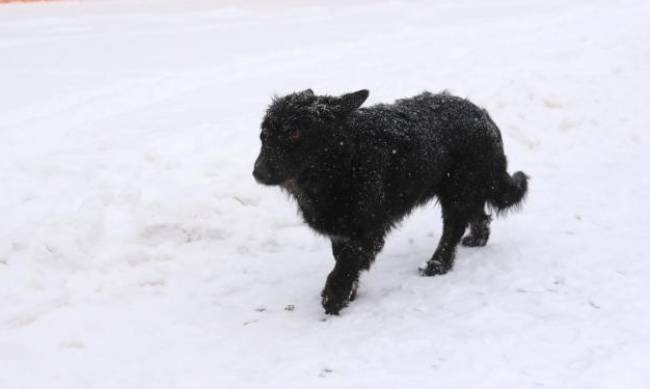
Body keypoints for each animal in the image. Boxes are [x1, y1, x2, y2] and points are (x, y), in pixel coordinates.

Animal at [251, 89, 524, 314]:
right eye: (264, 134)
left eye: (294, 132)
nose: (258, 172)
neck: (343, 161)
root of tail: (485, 118)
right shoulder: (341, 229)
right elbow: (343, 259)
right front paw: (349, 294)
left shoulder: (369, 229)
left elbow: (346, 263)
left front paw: (334, 297)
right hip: (467, 187)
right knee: (478, 213)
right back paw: (477, 239)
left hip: (458, 188)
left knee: (454, 227)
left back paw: (437, 265)